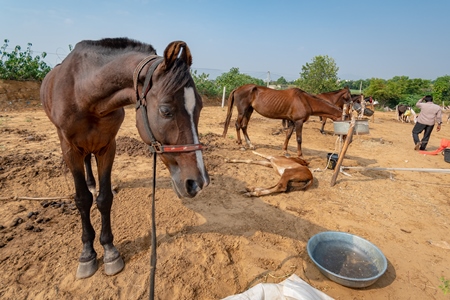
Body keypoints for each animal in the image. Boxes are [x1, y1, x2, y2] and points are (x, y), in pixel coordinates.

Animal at [40, 38, 209, 280]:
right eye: (166, 110)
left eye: (200, 107)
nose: (198, 182)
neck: (83, 92)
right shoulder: (69, 149)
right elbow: (82, 200)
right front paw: (87, 254)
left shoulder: (107, 146)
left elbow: (104, 199)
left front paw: (110, 252)